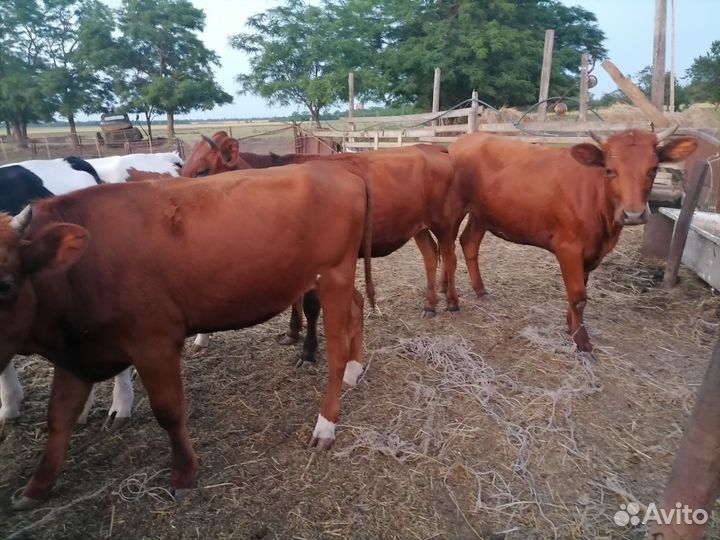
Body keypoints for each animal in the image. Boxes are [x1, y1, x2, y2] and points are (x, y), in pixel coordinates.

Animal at [181, 131, 465, 366]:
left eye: (203, 171)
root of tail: (431, 147)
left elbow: (310, 306)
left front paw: (308, 352)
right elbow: (295, 301)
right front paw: (292, 333)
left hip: (445, 221)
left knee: (450, 257)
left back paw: (451, 303)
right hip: (420, 227)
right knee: (431, 256)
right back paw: (429, 305)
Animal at [448, 126, 698, 352]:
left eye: (653, 169)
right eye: (609, 170)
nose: (634, 214)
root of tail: (466, 139)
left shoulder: (590, 252)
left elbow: (579, 292)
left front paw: (571, 326)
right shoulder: (568, 248)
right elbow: (578, 295)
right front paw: (581, 340)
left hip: (481, 215)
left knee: (469, 243)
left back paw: (481, 290)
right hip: (455, 210)